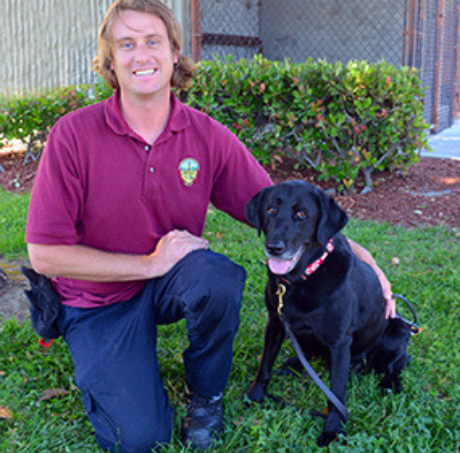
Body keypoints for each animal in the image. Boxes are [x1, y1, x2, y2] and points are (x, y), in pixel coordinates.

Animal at [246, 180, 412, 444]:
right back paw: (292, 365)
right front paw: (254, 396)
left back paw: (389, 385)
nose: (274, 247)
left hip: (398, 328)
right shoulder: (275, 323)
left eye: (302, 214)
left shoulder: (340, 342)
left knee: (393, 366)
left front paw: (333, 429)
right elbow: (264, 366)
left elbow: (336, 392)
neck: (301, 279)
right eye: (270, 210)